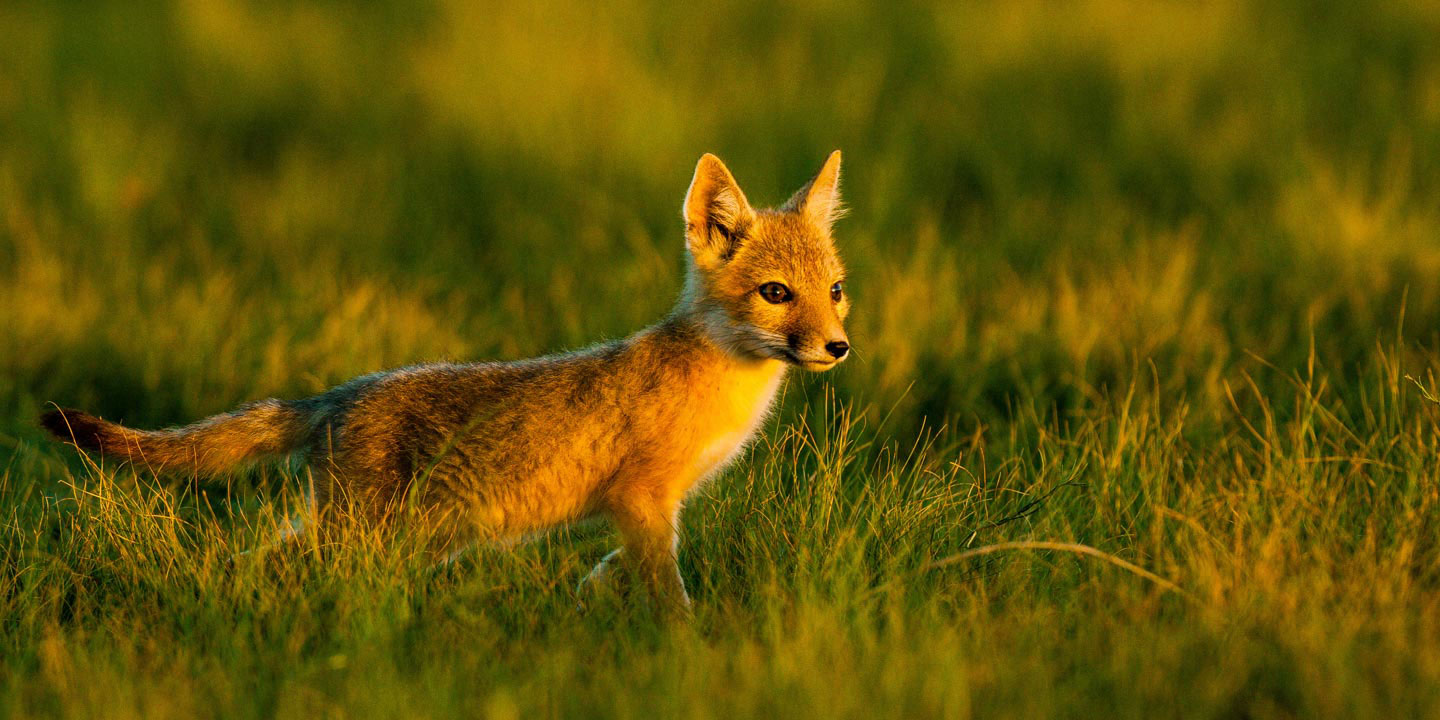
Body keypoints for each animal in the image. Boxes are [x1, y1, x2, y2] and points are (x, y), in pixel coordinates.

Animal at [39, 151, 846, 613]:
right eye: (776, 295)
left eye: (834, 290)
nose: (837, 348)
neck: (725, 387)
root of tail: (337, 395)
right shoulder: (643, 499)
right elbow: (669, 593)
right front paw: (688, 651)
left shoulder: (649, 509)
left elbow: (618, 568)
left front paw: (592, 595)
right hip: (362, 537)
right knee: (259, 563)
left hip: (401, 542)